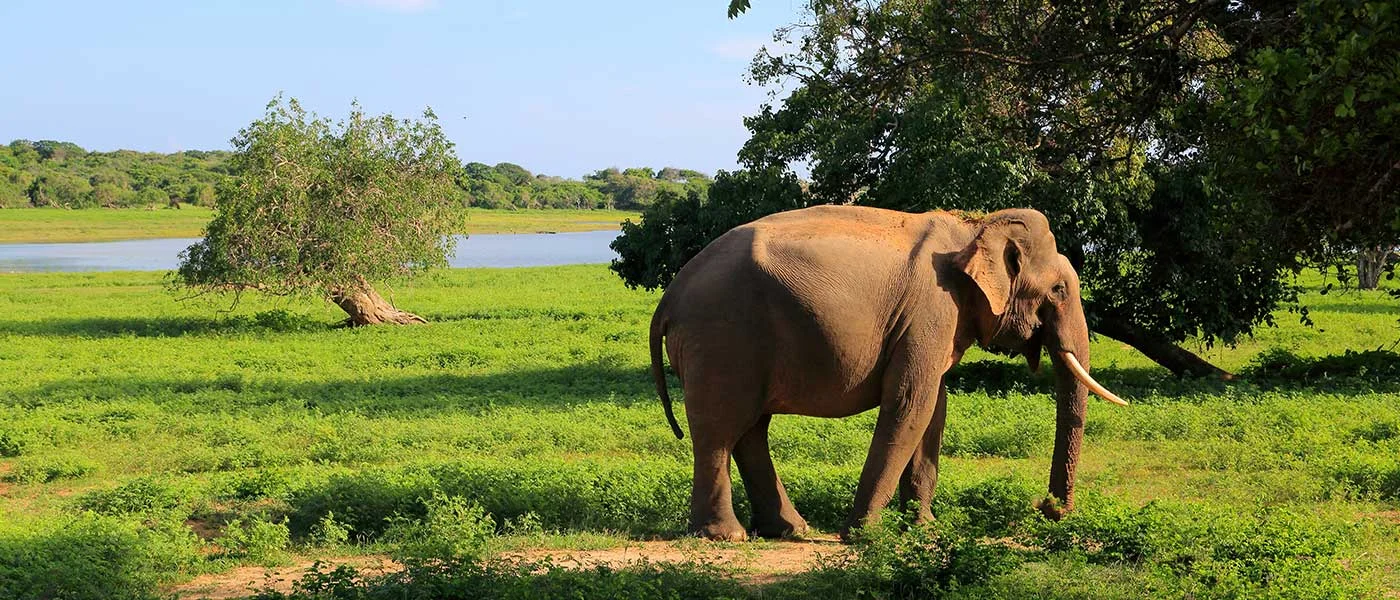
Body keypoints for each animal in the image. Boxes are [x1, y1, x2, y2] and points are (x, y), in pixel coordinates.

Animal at [644, 202, 1125, 539]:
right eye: (1059, 289)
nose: (1047, 509)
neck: (974, 227)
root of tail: (671, 295)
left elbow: (934, 408)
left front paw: (924, 528)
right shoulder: (932, 309)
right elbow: (911, 403)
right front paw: (865, 536)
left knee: (750, 429)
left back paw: (789, 530)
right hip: (722, 338)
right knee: (719, 430)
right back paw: (728, 536)